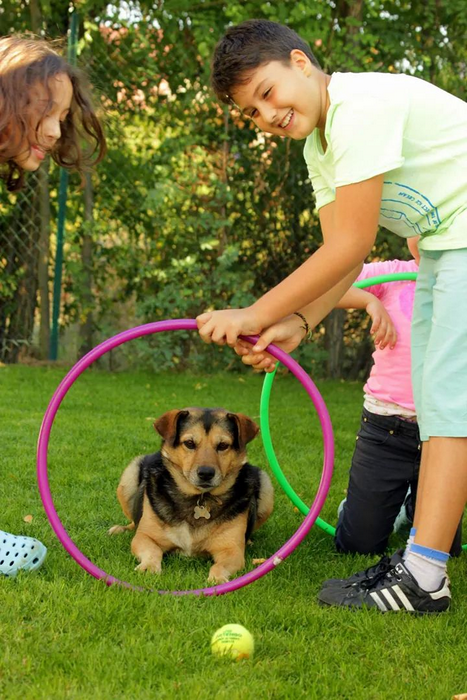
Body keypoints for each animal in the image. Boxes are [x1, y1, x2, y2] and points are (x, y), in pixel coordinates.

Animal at [108, 407, 274, 584]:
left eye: (223, 445)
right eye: (189, 443)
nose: (206, 473)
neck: (199, 498)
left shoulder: (231, 550)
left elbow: (220, 565)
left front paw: (217, 579)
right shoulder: (144, 537)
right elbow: (152, 550)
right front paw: (149, 567)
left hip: (265, 484)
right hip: (129, 475)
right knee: (134, 521)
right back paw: (120, 529)